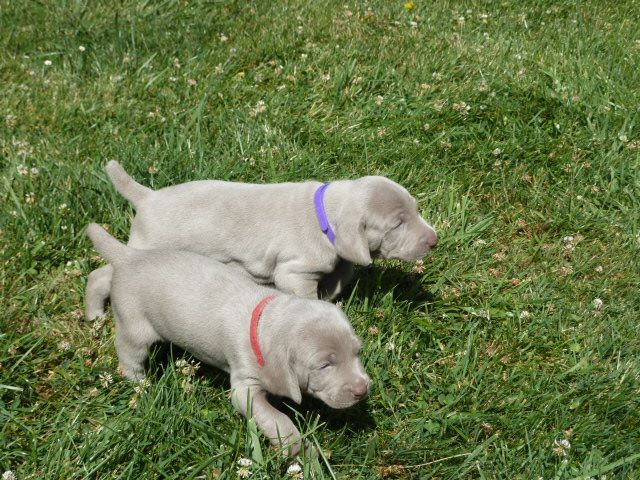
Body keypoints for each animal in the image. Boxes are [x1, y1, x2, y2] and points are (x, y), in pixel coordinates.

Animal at [85, 223, 370, 456]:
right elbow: (276, 420)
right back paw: (139, 383)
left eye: (357, 353)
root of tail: (129, 257)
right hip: (134, 326)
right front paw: (296, 448)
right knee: (128, 354)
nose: (363, 390)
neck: (268, 318)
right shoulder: (245, 389)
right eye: (324, 365)